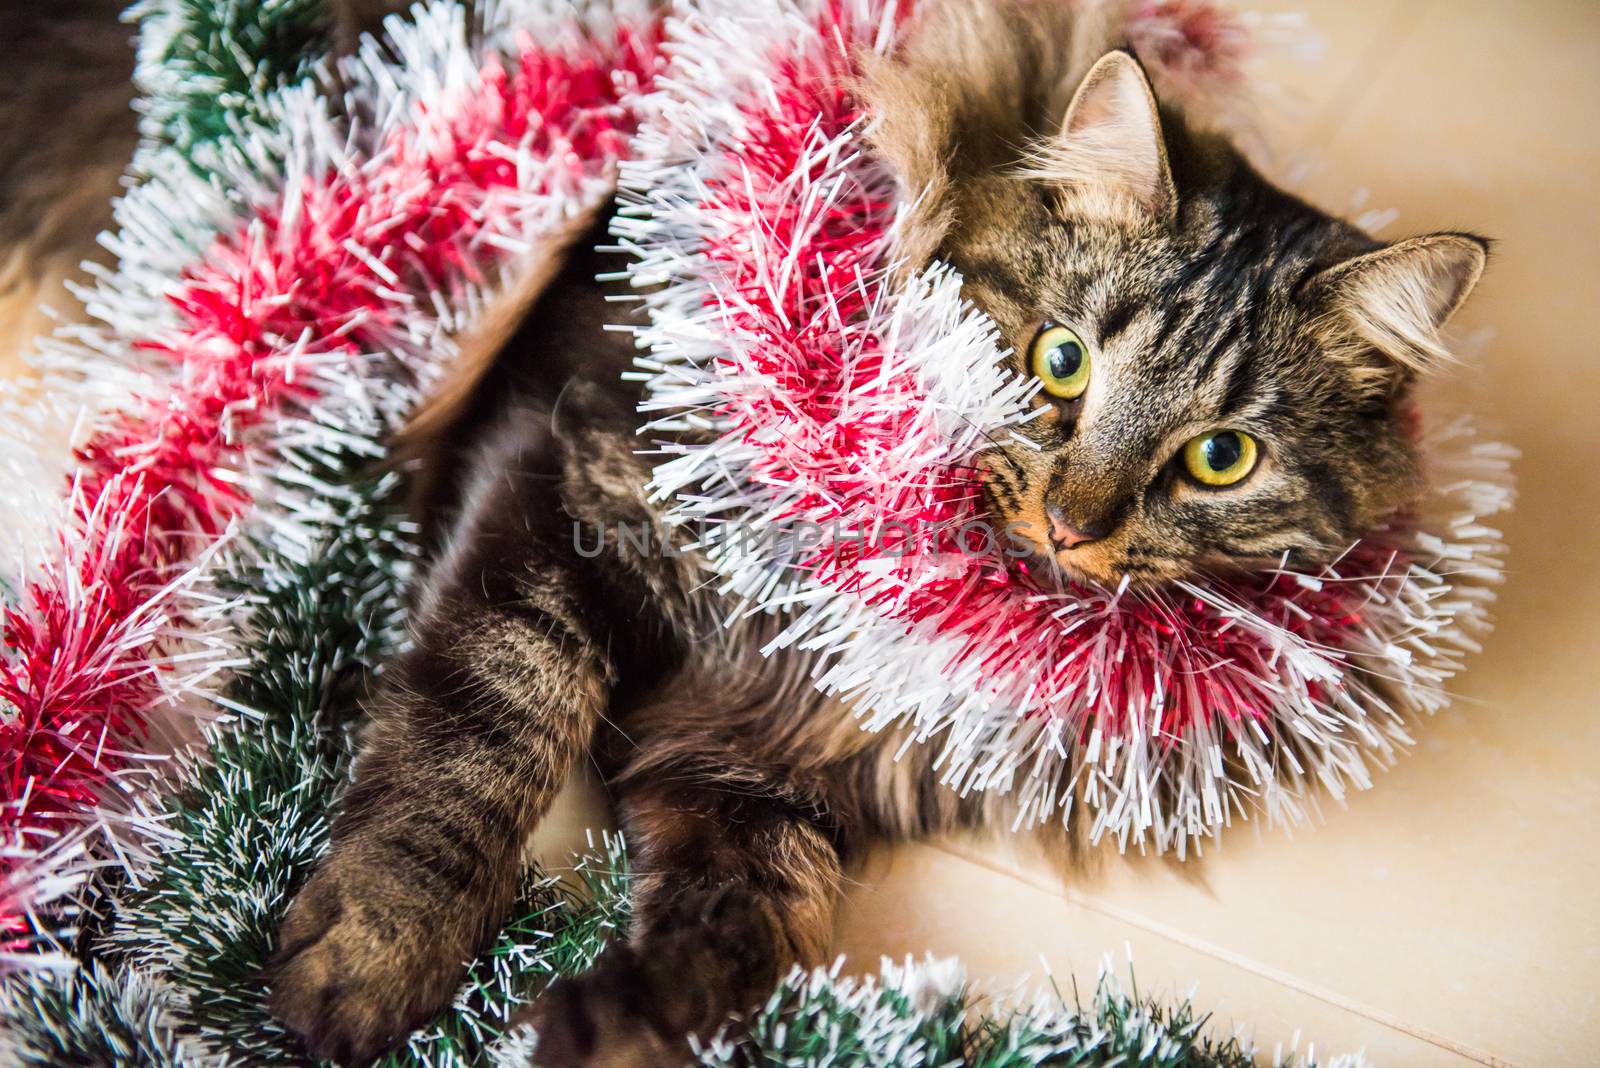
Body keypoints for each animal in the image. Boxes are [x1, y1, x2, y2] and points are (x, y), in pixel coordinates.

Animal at [265, 4, 1484, 1061]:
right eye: (1060, 361)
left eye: (1221, 458)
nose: (1073, 525)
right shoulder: (570, 468)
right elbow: (482, 729)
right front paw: (369, 961)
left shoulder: (761, 777)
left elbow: (743, 927)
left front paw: (621, 1030)